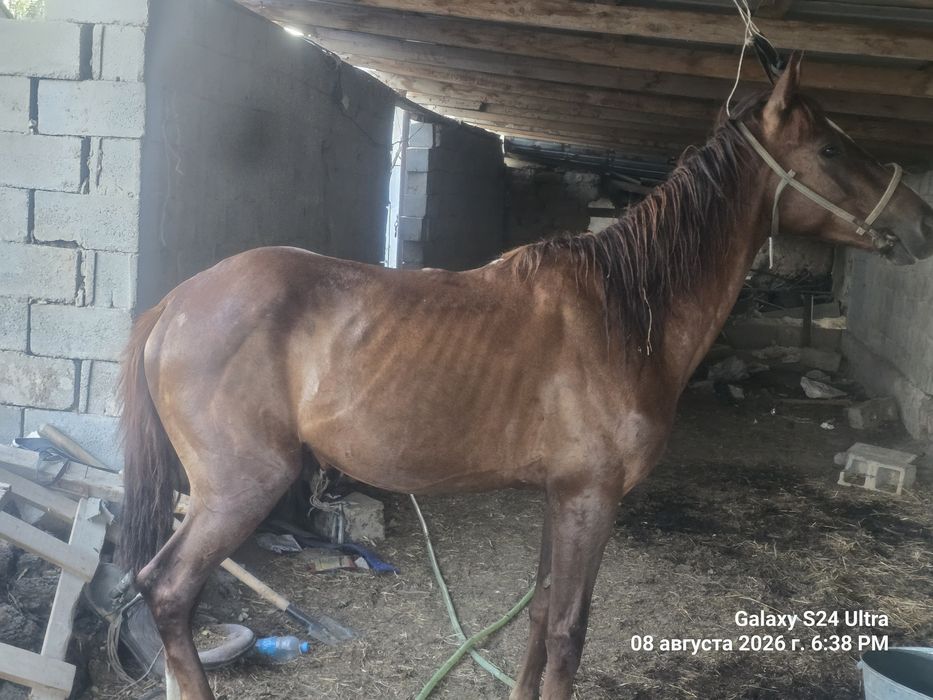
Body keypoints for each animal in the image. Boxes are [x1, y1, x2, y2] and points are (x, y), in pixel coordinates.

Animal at [119, 54, 933, 699]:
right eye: (829, 146)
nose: (922, 220)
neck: (622, 314)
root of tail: (174, 303)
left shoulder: (559, 496)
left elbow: (540, 616)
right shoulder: (591, 498)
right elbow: (570, 630)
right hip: (239, 487)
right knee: (168, 592)